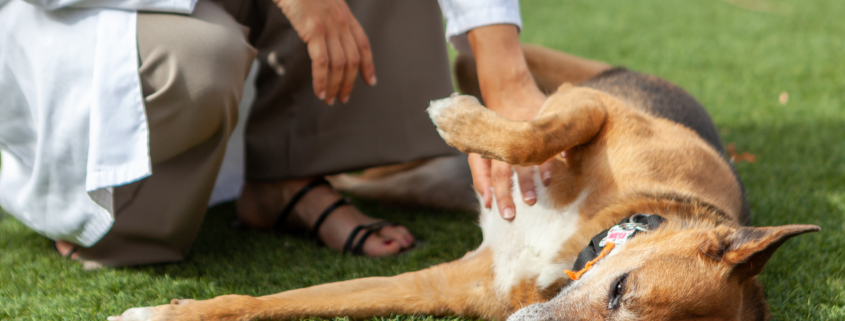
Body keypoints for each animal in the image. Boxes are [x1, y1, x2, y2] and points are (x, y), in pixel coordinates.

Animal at [110, 44, 816, 320]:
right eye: (620, 290)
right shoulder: (591, 106)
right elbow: (534, 133)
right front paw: (457, 117)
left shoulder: (440, 287)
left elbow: (277, 301)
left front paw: (166, 311)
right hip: (557, 75)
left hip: (415, 187)